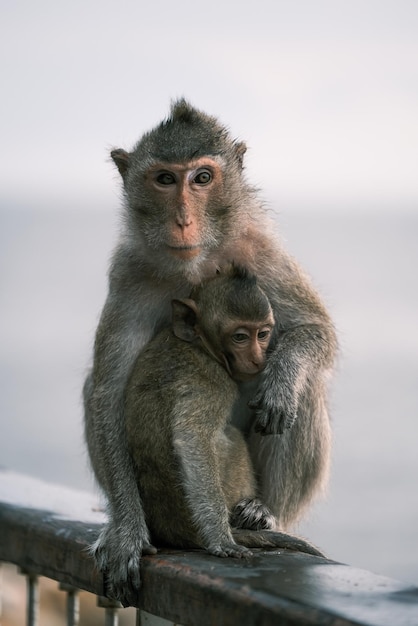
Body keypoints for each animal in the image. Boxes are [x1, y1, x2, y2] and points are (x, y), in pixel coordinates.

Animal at [123, 264, 320, 556]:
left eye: (262, 334)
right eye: (240, 337)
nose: (258, 359)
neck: (198, 345)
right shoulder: (214, 382)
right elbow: (193, 438)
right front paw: (220, 538)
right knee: (231, 438)